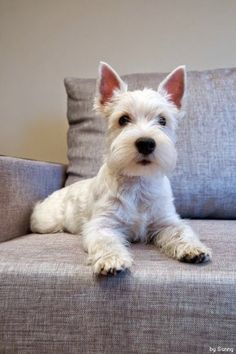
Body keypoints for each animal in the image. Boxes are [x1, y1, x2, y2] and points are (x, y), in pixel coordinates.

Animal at [30, 62, 212, 276]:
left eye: (163, 120)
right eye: (123, 119)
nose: (146, 143)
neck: (138, 182)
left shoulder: (166, 221)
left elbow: (181, 232)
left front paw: (194, 249)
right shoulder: (103, 224)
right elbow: (106, 242)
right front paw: (112, 260)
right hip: (45, 221)